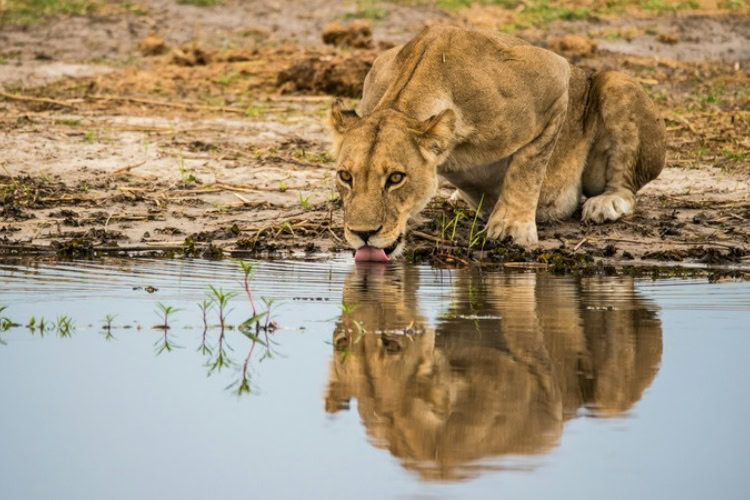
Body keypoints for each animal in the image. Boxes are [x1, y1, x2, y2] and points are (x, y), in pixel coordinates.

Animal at [329, 25, 666, 261]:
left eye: (396, 178)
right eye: (345, 177)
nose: (363, 234)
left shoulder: (553, 78)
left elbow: (527, 167)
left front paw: (511, 228)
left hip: (617, 83)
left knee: (626, 186)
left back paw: (606, 203)